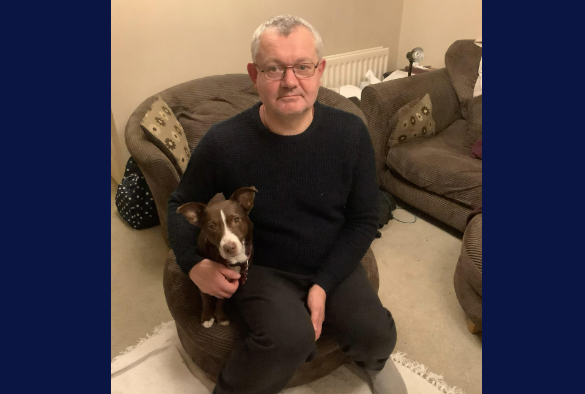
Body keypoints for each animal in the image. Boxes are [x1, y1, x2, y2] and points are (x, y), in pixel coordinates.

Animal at [176, 186, 258, 328]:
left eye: (236, 219)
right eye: (211, 226)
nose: (229, 247)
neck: (234, 260)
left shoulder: (228, 283)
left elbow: (221, 300)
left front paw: (221, 317)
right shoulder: (205, 279)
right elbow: (207, 298)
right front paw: (207, 317)